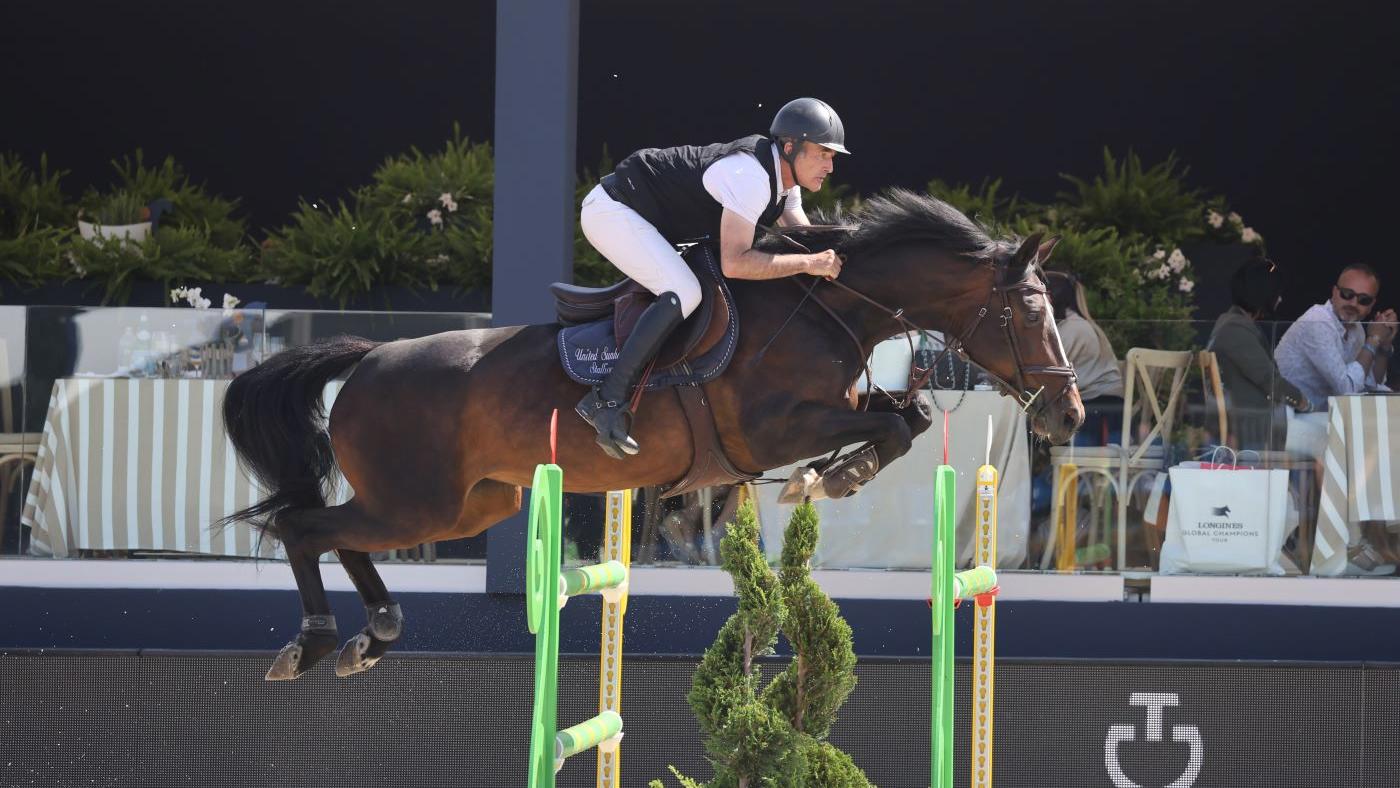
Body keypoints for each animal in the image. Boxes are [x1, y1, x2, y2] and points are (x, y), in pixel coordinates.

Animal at [224, 187, 1086, 680]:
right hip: (419, 503)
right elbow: (893, 422)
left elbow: (905, 415)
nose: (1070, 415)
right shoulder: (773, 430)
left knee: (343, 535)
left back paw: (374, 636)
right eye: (1031, 312)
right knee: (306, 527)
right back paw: (314, 642)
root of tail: (370, 356)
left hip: (470, 505)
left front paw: (831, 475)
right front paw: (830, 475)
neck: (824, 306)